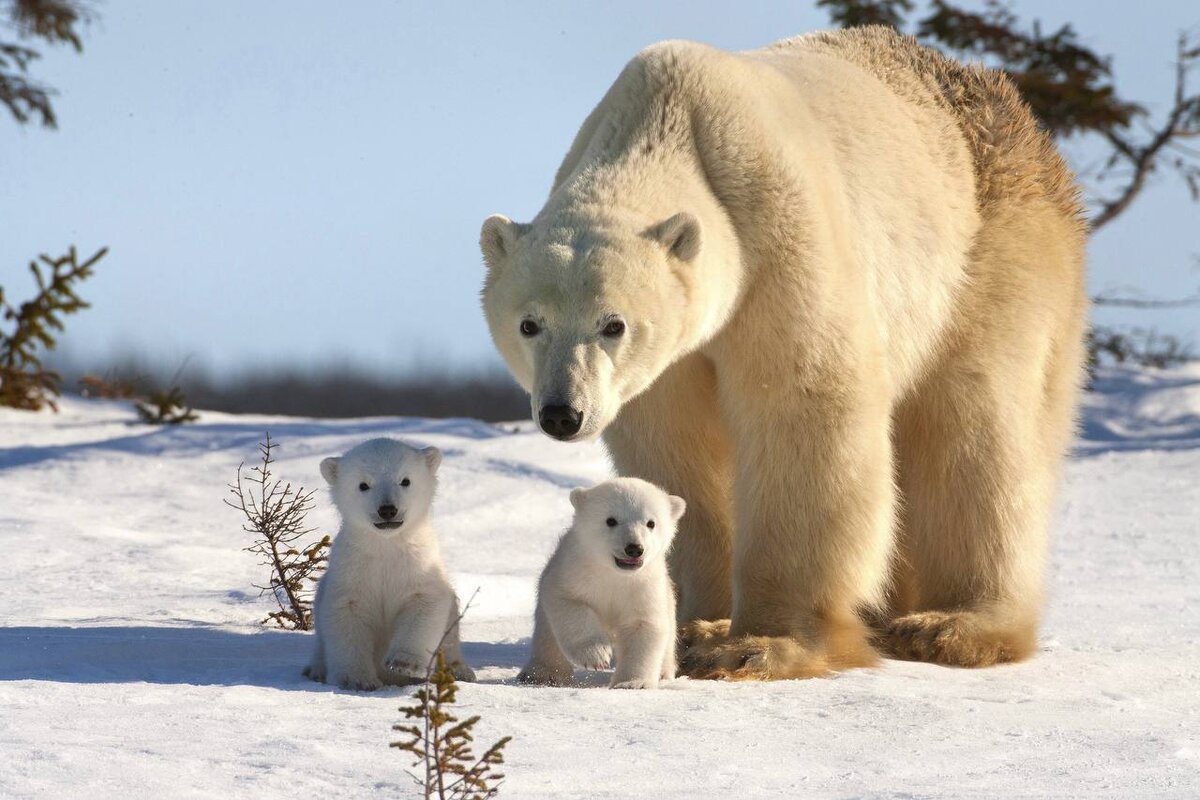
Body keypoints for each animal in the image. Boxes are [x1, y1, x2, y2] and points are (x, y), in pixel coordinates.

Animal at [302, 438, 475, 690]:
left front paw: (405, 664)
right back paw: (315, 670)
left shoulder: (419, 566)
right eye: (363, 485)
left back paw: (459, 670)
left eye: (405, 480)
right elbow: (346, 614)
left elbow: (424, 605)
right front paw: (356, 680)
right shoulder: (352, 571)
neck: (387, 545)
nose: (387, 510)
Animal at [516, 479, 686, 690]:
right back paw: (544, 674)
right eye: (611, 520)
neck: (614, 573)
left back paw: (664, 673)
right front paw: (596, 655)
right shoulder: (574, 571)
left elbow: (643, 625)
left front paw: (632, 683)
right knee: (547, 638)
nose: (634, 548)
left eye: (651, 523)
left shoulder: (643, 586)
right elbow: (570, 604)